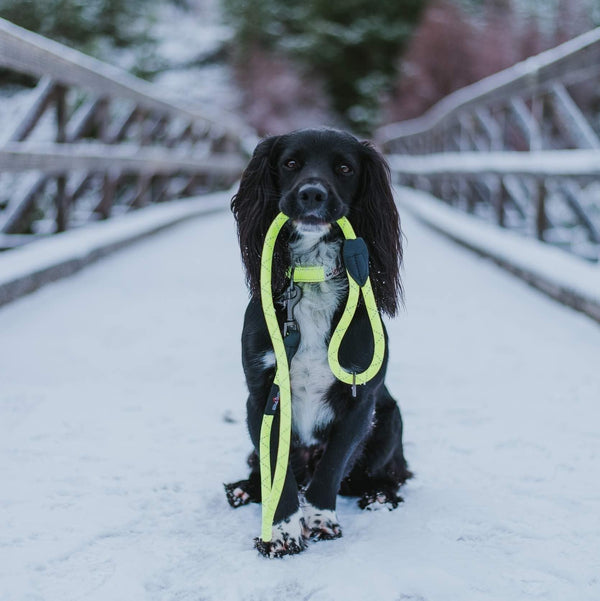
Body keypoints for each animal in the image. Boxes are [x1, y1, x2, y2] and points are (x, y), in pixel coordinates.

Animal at [225, 129, 412, 556]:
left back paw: (380, 496)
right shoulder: (263, 397)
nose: (312, 193)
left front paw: (320, 518)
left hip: (390, 418)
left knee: (391, 474)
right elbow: (277, 471)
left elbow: (332, 466)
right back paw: (244, 489)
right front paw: (281, 531)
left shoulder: (361, 401)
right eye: (291, 163)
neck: (311, 275)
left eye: (344, 168)